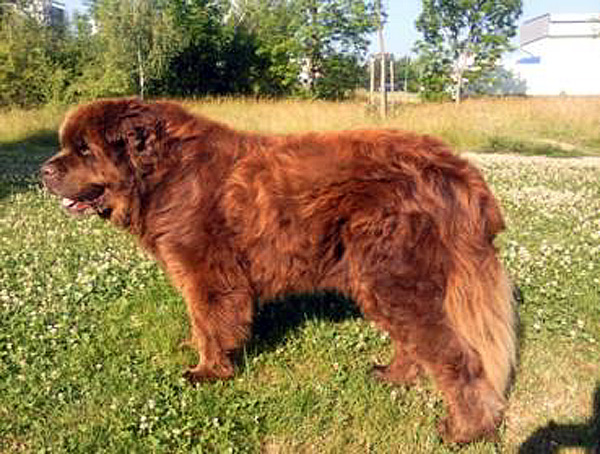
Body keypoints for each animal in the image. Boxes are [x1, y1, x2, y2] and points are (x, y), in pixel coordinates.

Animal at [42, 98, 516, 443]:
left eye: (85, 150)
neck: (162, 174)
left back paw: (465, 431)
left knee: (457, 355)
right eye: (70, 146)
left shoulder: (206, 272)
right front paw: (195, 349)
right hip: (384, 279)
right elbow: (201, 322)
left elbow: (211, 321)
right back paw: (393, 376)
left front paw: (207, 371)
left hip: (392, 274)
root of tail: (458, 169)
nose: (45, 170)